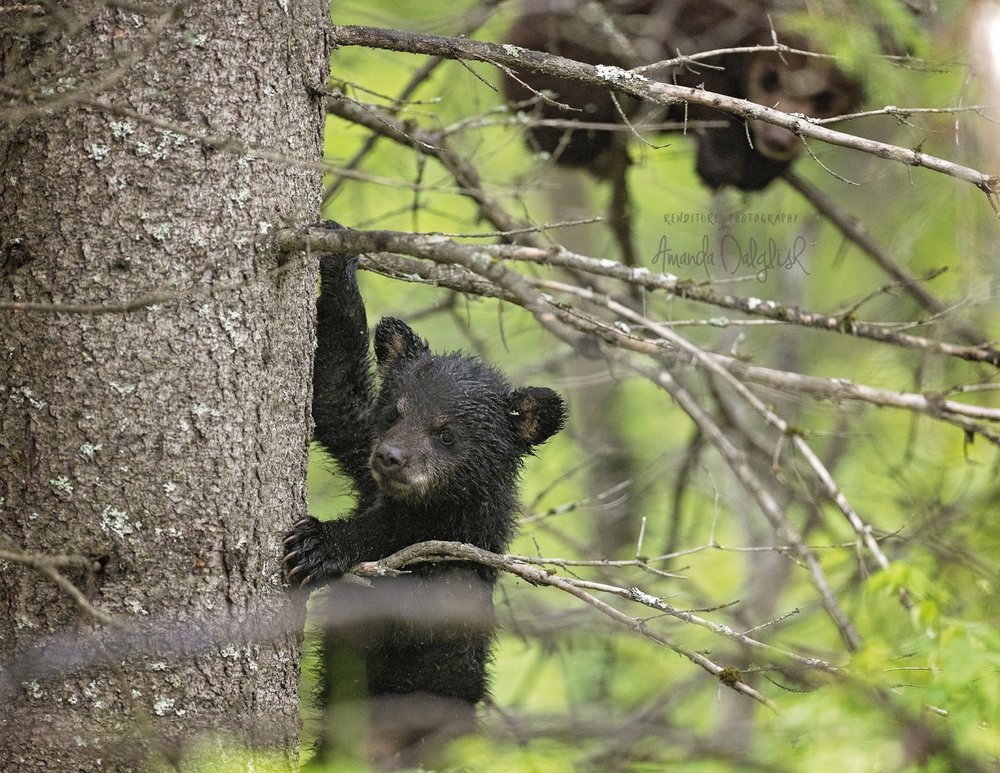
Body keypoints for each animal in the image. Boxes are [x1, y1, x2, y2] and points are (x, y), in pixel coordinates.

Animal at [286, 222, 568, 764]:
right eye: (394, 412)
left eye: (447, 433)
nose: (390, 458)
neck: (432, 506)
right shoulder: (363, 452)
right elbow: (334, 395)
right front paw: (338, 256)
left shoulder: (459, 545)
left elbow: (406, 582)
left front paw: (318, 544)